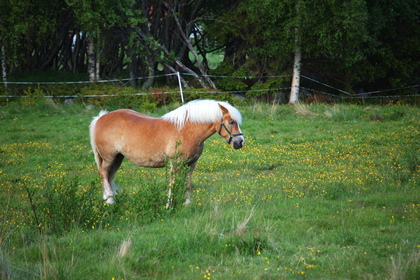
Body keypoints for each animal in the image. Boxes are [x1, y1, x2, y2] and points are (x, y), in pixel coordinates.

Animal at [90, 99, 244, 205]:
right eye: (231, 122)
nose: (240, 142)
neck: (185, 130)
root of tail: (100, 118)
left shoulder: (191, 164)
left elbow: (187, 184)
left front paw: (187, 204)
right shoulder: (174, 163)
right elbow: (173, 183)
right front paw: (169, 205)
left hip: (118, 158)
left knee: (109, 176)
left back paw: (109, 199)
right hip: (109, 157)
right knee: (103, 173)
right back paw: (110, 201)